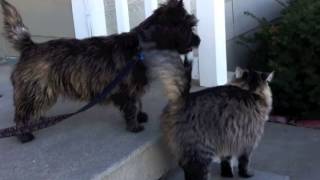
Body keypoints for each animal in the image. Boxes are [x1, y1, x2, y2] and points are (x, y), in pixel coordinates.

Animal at [0, 0, 200, 143]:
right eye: (187, 27)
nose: (198, 40)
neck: (140, 47)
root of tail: (30, 47)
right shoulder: (126, 88)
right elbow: (132, 105)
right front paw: (134, 125)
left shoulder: (133, 87)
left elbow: (138, 101)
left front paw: (140, 116)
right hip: (35, 90)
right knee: (21, 114)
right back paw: (24, 135)